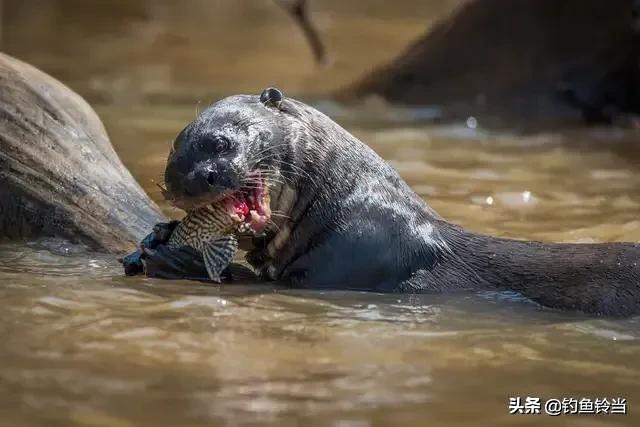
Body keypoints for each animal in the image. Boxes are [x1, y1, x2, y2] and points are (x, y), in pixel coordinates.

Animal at [138, 88, 636, 318]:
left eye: (222, 143)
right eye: (171, 166)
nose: (193, 180)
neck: (340, 202)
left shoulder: (350, 258)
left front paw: (172, 257)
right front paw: (160, 235)